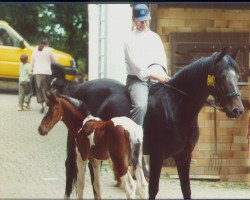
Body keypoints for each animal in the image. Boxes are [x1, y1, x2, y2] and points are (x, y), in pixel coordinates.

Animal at [51, 48, 243, 198]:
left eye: (237, 75)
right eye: (221, 75)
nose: (238, 110)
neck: (176, 108)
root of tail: (79, 88)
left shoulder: (184, 157)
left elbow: (186, 190)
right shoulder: (157, 156)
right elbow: (153, 189)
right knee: (70, 168)